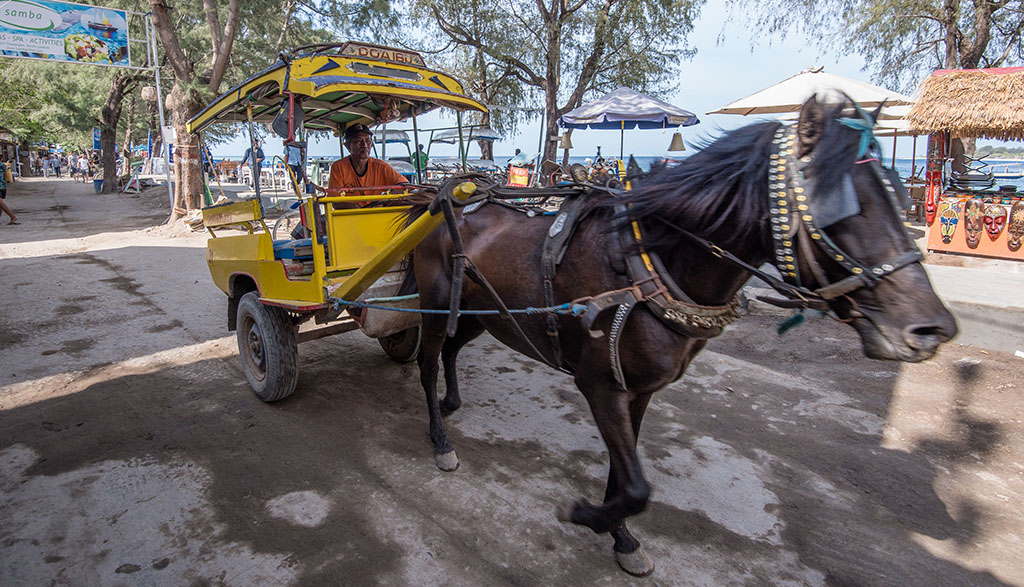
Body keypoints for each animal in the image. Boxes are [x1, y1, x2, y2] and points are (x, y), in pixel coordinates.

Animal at [403, 97, 954, 577]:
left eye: (896, 188)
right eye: (837, 201)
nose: (932, 328)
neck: (648, 264)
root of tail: (439, 199)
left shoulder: (640, 390)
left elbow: (624, 473)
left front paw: (621, 537)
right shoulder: (599, 384)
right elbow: (636, 487)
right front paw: (590, 517)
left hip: (479, 314)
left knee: (451, 351)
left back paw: (452, 402)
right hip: (435, 307)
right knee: (427, 362)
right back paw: (439, 437)